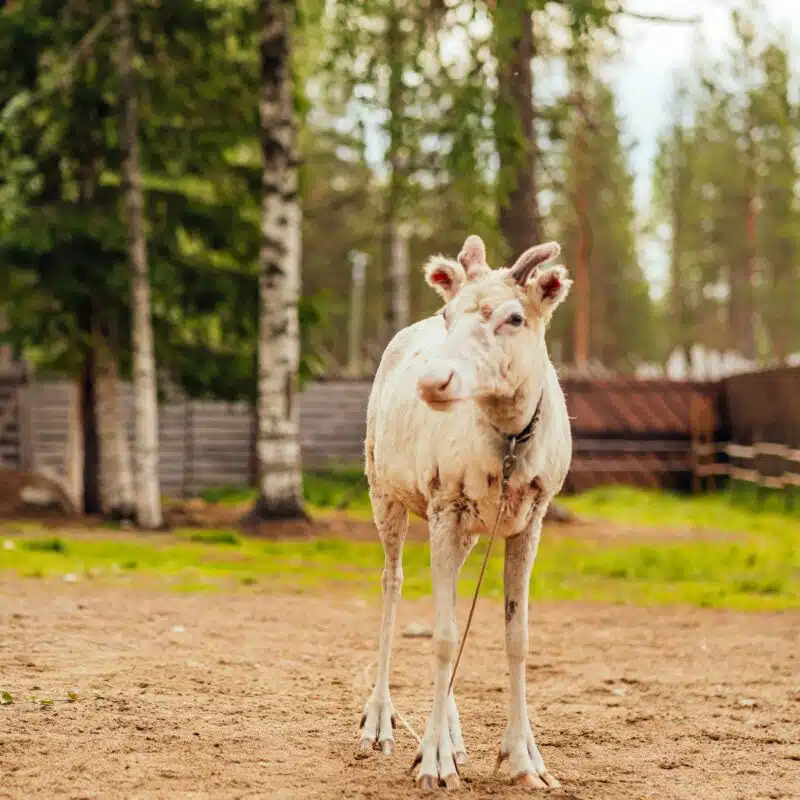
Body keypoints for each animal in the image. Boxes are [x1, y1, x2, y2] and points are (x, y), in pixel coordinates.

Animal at [358, 234, 572, 790]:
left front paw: (525, 760)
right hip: (383, 491)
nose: (434, 380)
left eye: (515, 317)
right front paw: (432, 761)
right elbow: (443, 634)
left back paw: (454, 737)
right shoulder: (444, 503)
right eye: (448, 313)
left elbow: (515, 635)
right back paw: (380, 723)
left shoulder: (532, 515)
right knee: (392, 583)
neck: (510, 444)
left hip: (470, 530)